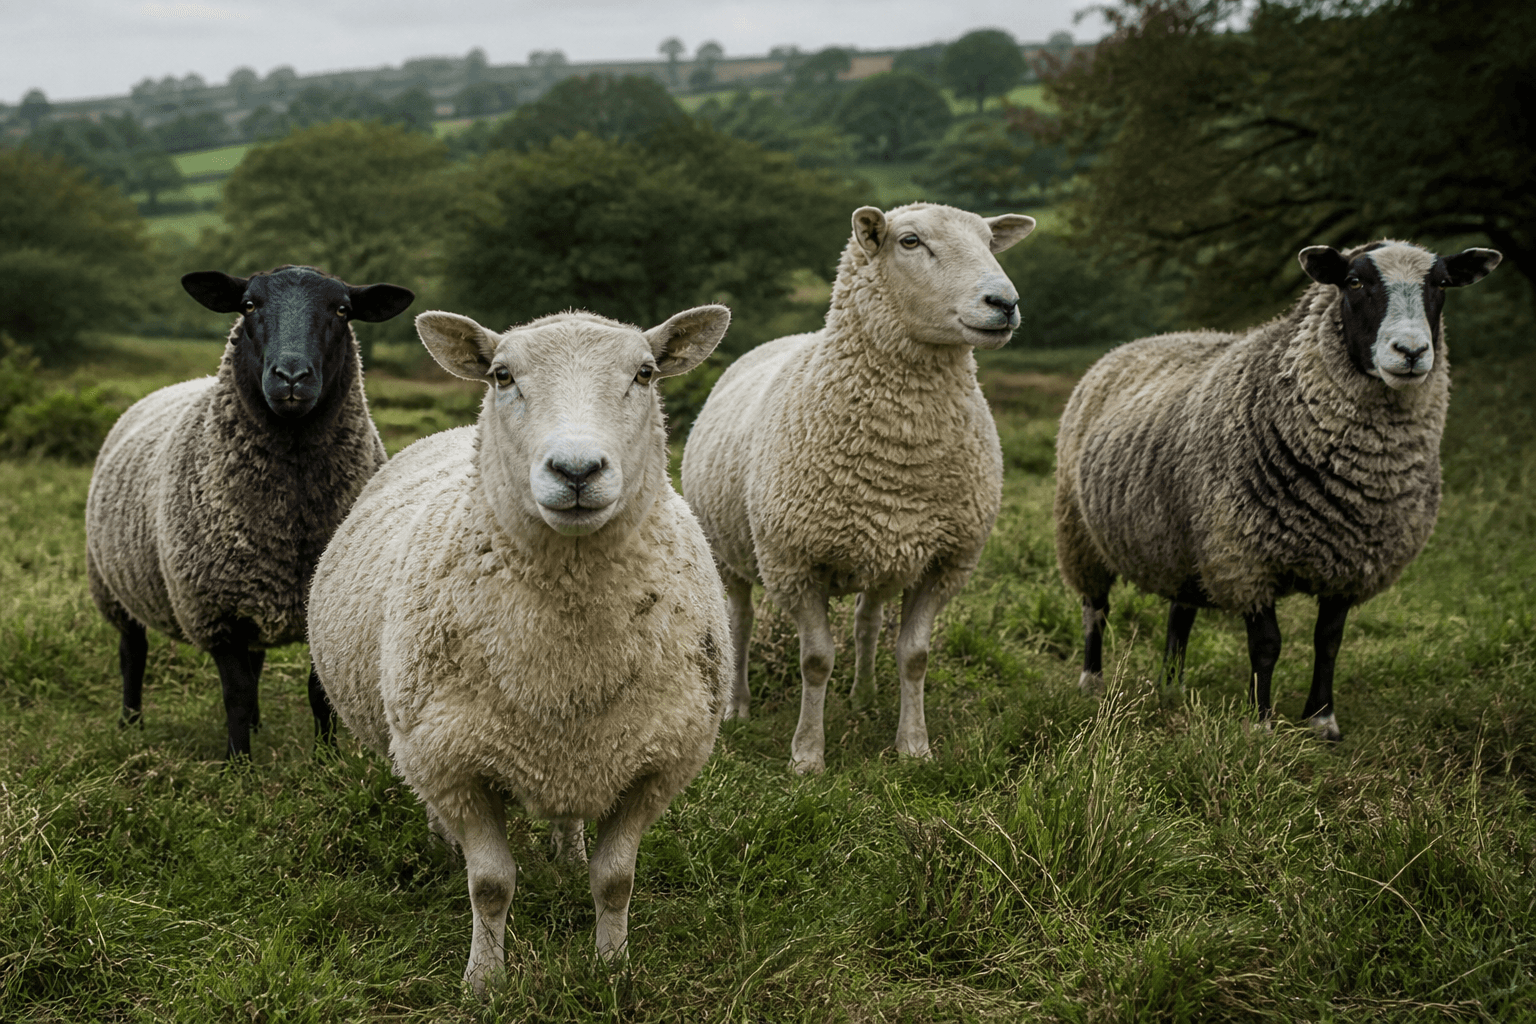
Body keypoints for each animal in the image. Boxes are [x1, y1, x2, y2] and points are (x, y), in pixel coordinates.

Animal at [85, 265, 414, 759]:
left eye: (342, 310)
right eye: (248, 305)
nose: (291, 376)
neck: (291, 521)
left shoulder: (317, 604)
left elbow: (317, 694)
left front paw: (326, 759)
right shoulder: (217, 611)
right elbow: (235, 694)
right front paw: (237, 763)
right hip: (113, 585)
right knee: (132, 654)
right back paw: (130, 722)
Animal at [306, 305, 733, 995]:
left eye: (644, 373)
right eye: (502, 375)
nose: (577, 471)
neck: (566, 659)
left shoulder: (657, 763)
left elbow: (616, 881)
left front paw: (611, 969)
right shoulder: (453, 761)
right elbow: (490, 885)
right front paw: (484, 980)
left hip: (584, 754)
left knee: (571, 814)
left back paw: (568, 855)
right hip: (418, 743)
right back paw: (444, 845)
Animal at [680, 202, 1036, 773]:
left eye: (988, 241)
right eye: (910, 241)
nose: (1004, 304)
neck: (901, 454)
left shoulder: (945, 562)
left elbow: (914, 657)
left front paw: (914, 746)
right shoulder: (794, 563)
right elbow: (815, 660)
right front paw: (807, 756)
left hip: (881, 548)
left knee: (868, 620)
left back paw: (864, 696)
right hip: (728, 550)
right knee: (741, 619)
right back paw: (737, 706)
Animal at [1055, 240, 1502, 739]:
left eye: (1441, 284)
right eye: (1354, 282)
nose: (1410, 351)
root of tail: (1140, 342)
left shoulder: (1350, 561)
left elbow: (1329, 641)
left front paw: (1323, 721)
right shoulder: (1246, 557)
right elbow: (1267, 644)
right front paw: (1261, 724)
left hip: (1183, 541)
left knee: (1180, 613)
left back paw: (1170, 687)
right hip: (1079, 529)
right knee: (1095, 609)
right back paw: (1092, 682)